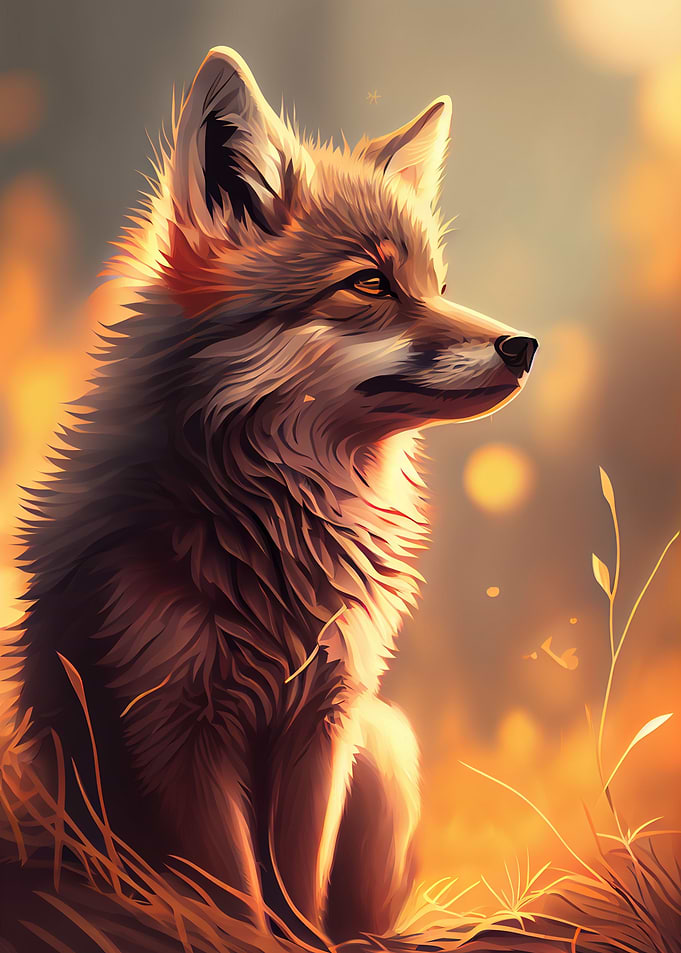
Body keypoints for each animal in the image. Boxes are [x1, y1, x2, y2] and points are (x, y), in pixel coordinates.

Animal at [16, 48, 537, 943]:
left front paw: (303, 940)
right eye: (371, 283)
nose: (525, 345)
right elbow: (233, 892)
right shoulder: (175, 727)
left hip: (383, 742)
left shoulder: (324, 720)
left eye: (437, 285)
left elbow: (295, 884)